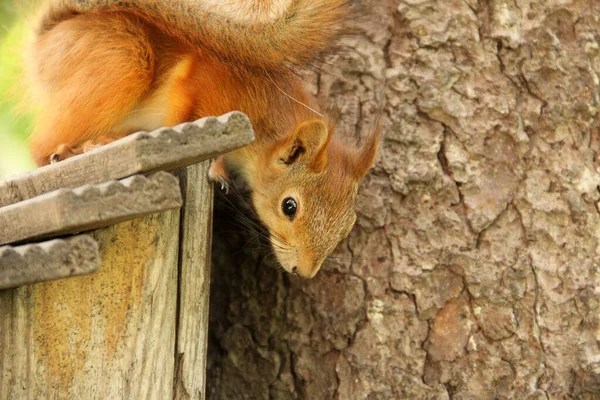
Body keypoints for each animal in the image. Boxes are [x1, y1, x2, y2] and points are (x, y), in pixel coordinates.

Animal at [25, 0, 382, 278]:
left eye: (348, 225)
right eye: (289, 207)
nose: (304, 272)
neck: (269, 112)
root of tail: (47, 39)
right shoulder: (198, 80)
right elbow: (178, 118)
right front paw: (214, 166)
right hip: (121, 61)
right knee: (40, 147)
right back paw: (74, 149)